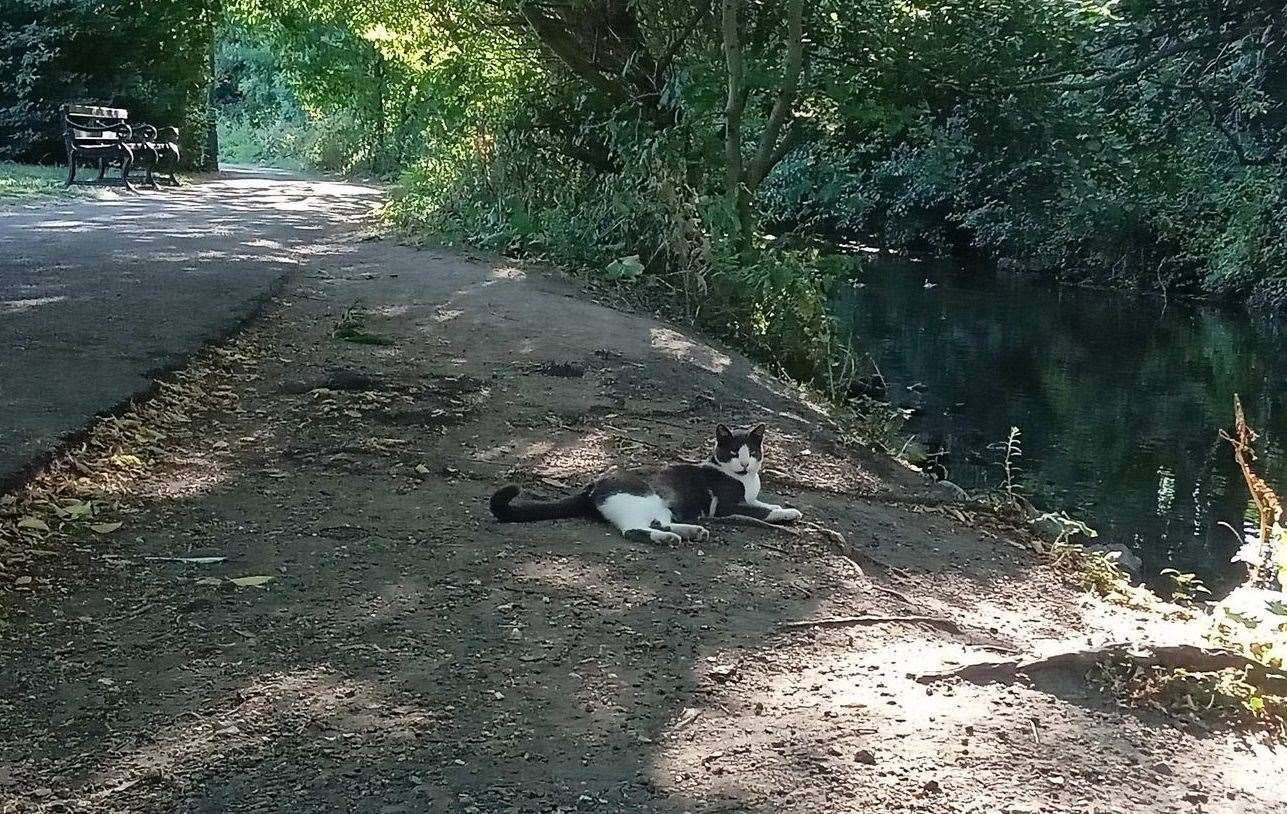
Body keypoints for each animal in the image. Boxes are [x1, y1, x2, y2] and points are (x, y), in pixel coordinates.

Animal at [491, 422, 803, 543]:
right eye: (733, 453)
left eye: (751, 452)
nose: (745, 464)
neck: (745, 480)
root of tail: (592, 486)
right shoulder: (727, 506)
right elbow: (760, 510)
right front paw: (785, 512)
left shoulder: (750, 496)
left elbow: (764, 503)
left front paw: (786, 509)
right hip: (640, 499)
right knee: (635, 530)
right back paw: (669, 538)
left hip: (658, 506)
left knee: (660, 522)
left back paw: (692, 531)